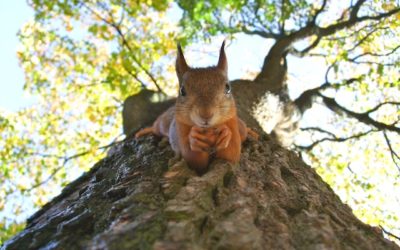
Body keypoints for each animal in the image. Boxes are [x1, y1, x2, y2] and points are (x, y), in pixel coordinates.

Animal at [136, 41, 258, 174]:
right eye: (182, 90)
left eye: (228, 88)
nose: (206, 114)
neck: (209, 132)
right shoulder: (180, 131)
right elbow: (194, 160)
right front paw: (194, 138)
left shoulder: (232, 125)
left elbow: (231, 154)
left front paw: (226, 133)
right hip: (163, 124)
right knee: (156, 127)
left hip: (241, 127)